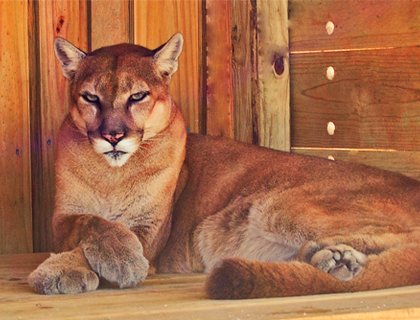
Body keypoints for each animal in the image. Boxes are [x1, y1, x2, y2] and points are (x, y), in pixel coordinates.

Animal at [28, 33, 420, 298]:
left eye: (137, 96)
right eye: (91, 97)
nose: (112, 136)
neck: (113, 176)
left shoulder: (150, 229)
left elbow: (105, 232)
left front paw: (108, 263)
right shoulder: (60, 218)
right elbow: (91, 222)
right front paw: (63, 268)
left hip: (281, 205)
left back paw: (337, 258)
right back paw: (330, 259)